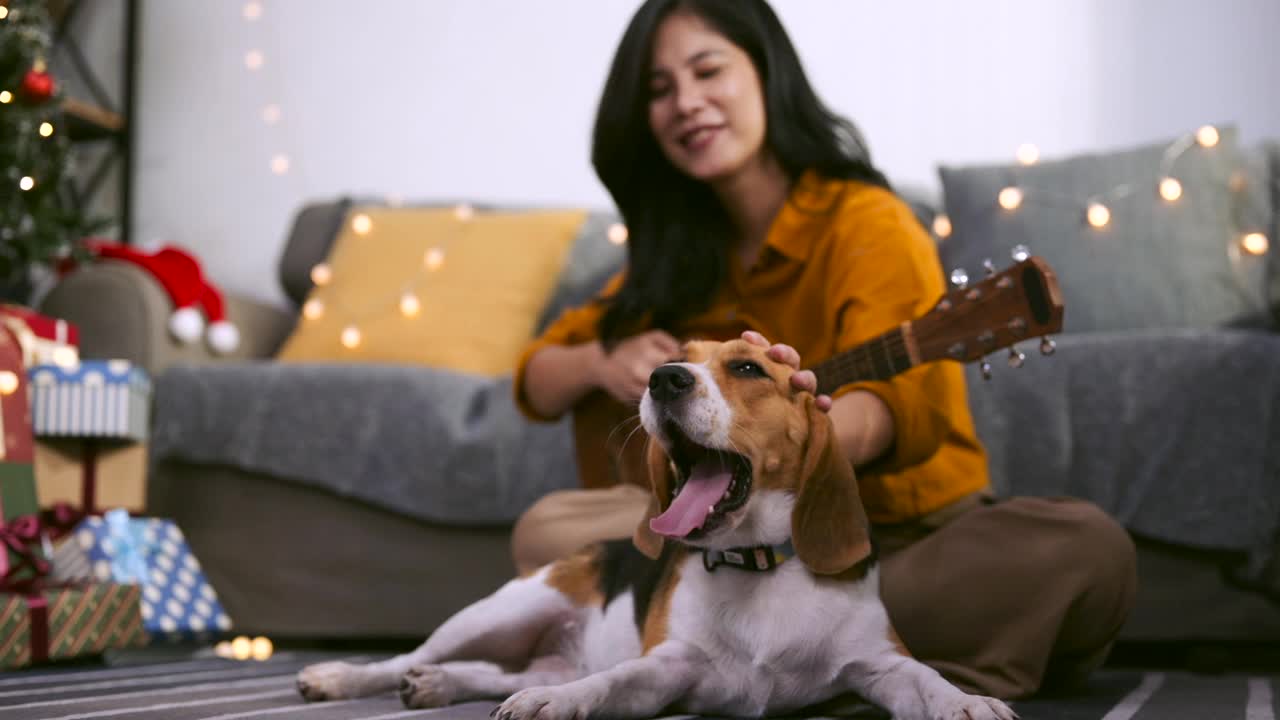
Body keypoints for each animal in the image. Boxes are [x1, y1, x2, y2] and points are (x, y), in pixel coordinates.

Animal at [294, 338, 1013, 717]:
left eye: (749, 367)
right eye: (681, 356)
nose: (662, 379)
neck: (758, 564)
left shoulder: (878, 662)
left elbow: (924, 678)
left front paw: (968, 702)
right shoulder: (667, 670)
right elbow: (609, 682)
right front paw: (558, 703)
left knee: (493, 672)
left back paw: (443, 684)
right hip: (507, 606)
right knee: (411, 654)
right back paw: (343, 677)